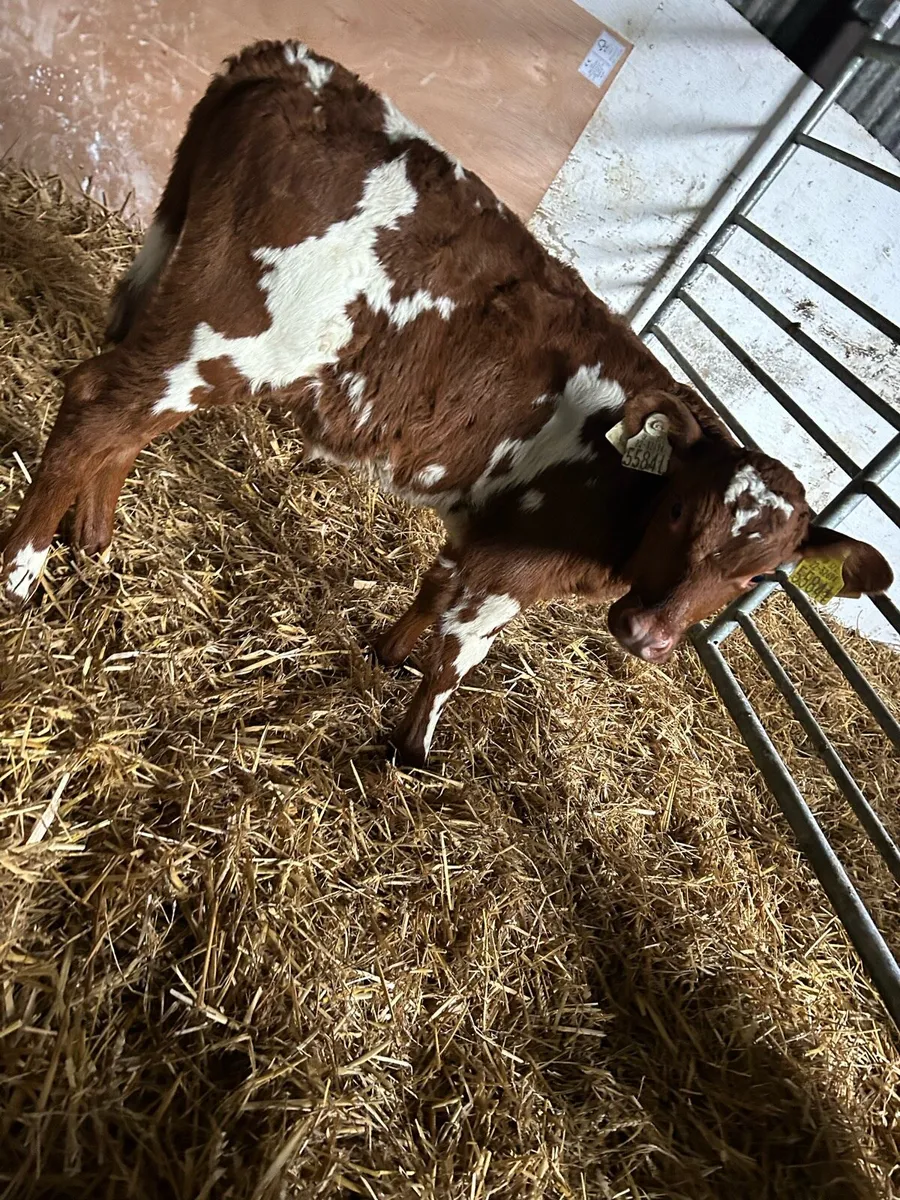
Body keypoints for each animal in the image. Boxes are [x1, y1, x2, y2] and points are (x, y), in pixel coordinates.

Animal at [0, 40, 892, 766]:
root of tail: (294, 66)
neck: (613, 499)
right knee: (96, 409)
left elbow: (432, 588)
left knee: (124, 427)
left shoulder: (479, 532)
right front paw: (414, 748)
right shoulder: (512, 566)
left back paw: (95, 542)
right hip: (231, 332)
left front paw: (386, 652)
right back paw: (20, 572)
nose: (647, 636)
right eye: (679, 512)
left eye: (759, 576)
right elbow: (461, 658)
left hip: (190, 311)